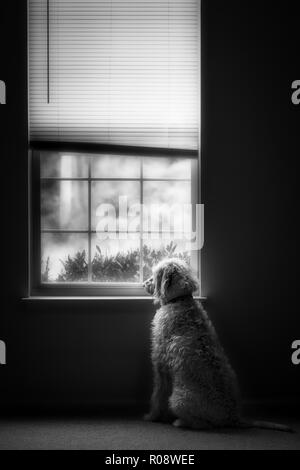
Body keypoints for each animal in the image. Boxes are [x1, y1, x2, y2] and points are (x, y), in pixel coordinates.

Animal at [144, 258, 292, 432]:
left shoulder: (160, 363)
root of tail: (233, 416)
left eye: (155, 274)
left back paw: (180, 422)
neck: (180, 300)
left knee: (203, 425)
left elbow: (157, 394)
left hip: (178, 400)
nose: (144, 284)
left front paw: (152, 416)